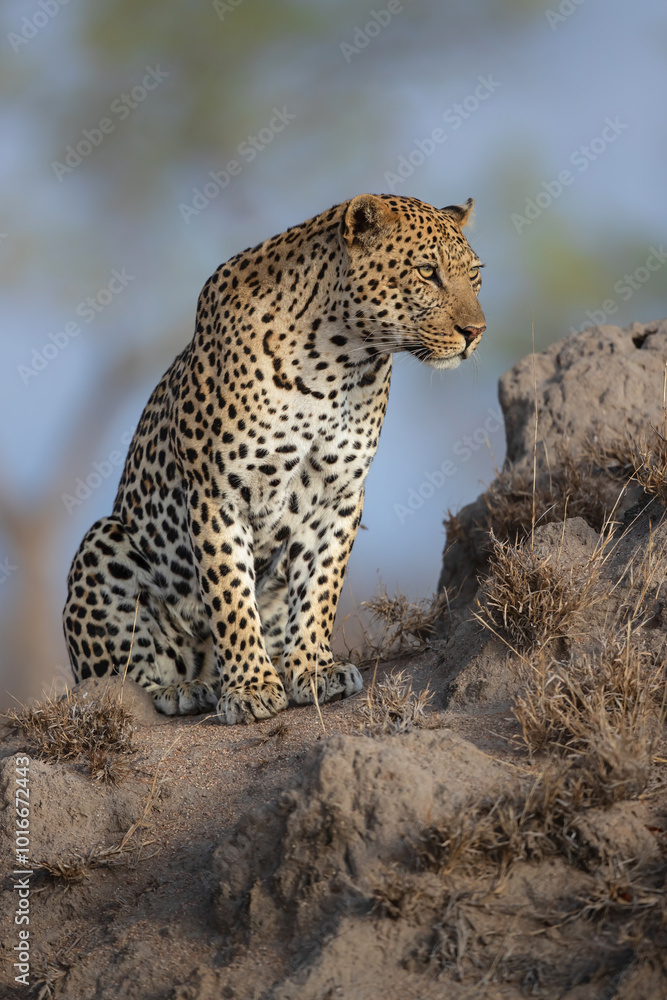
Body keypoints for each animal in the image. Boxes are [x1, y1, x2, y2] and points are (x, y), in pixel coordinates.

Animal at [63, 193, 486, 724]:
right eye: (427, 272)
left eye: (474, 276)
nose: (476, 332)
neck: (338, 363)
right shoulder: (217, 495)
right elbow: (230, 595)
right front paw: (249, 687)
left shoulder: (339, 494)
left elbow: (321, 587)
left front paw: (314, 669)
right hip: (105, 544)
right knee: (116, 678)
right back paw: (183, 688)